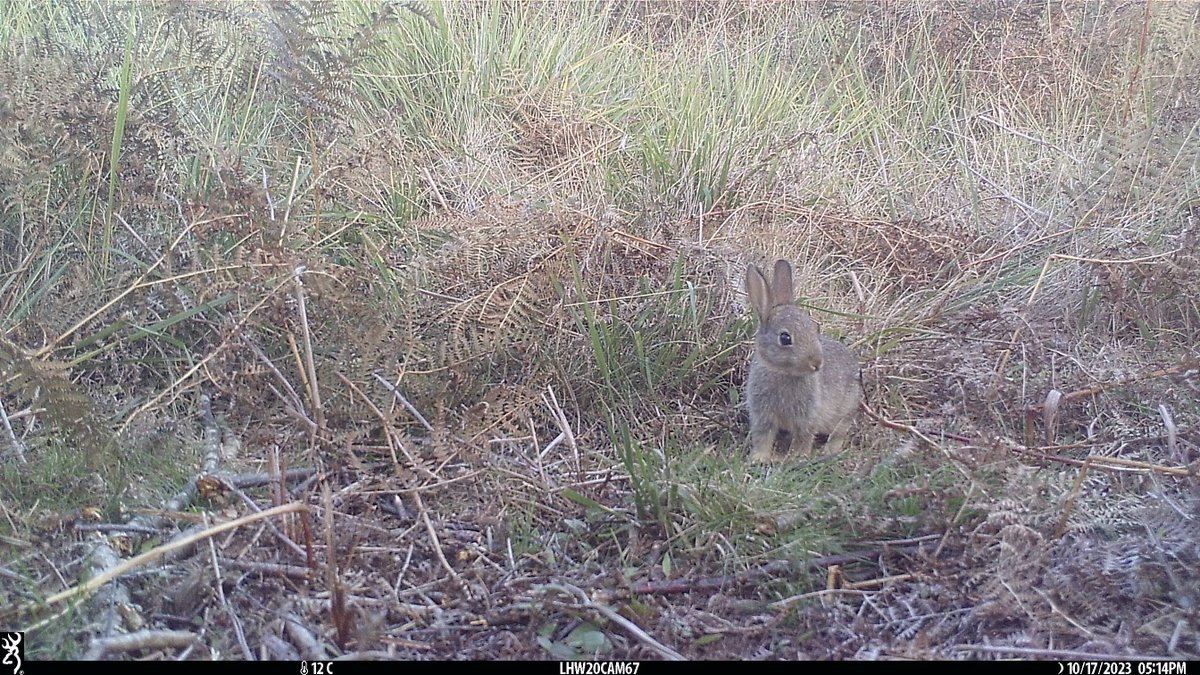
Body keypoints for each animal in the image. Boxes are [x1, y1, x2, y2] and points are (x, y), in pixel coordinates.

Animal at [744, 257, 859, 461]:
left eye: (814, 329)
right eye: (785, 338)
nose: (817, 363)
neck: (782, 372)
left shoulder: (807, 418)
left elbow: (803, 438)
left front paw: (796, 457)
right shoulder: (762, 416)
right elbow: (763, 437)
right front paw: (758, 458)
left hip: (846, 410)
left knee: (839, 432)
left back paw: (829, 450)